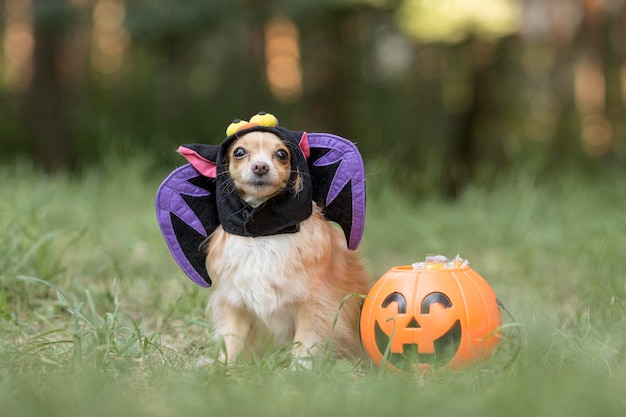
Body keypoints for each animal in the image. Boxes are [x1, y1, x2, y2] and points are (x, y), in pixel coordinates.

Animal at [204, 130, 370, 364]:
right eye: (239, 152)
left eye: (282, 154)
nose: (260, 166)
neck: (264, 232)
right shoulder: (235, 304)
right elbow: (231, 341)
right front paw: (223, 367)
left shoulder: (314, 305)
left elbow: (304, 344)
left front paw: (299, 369)